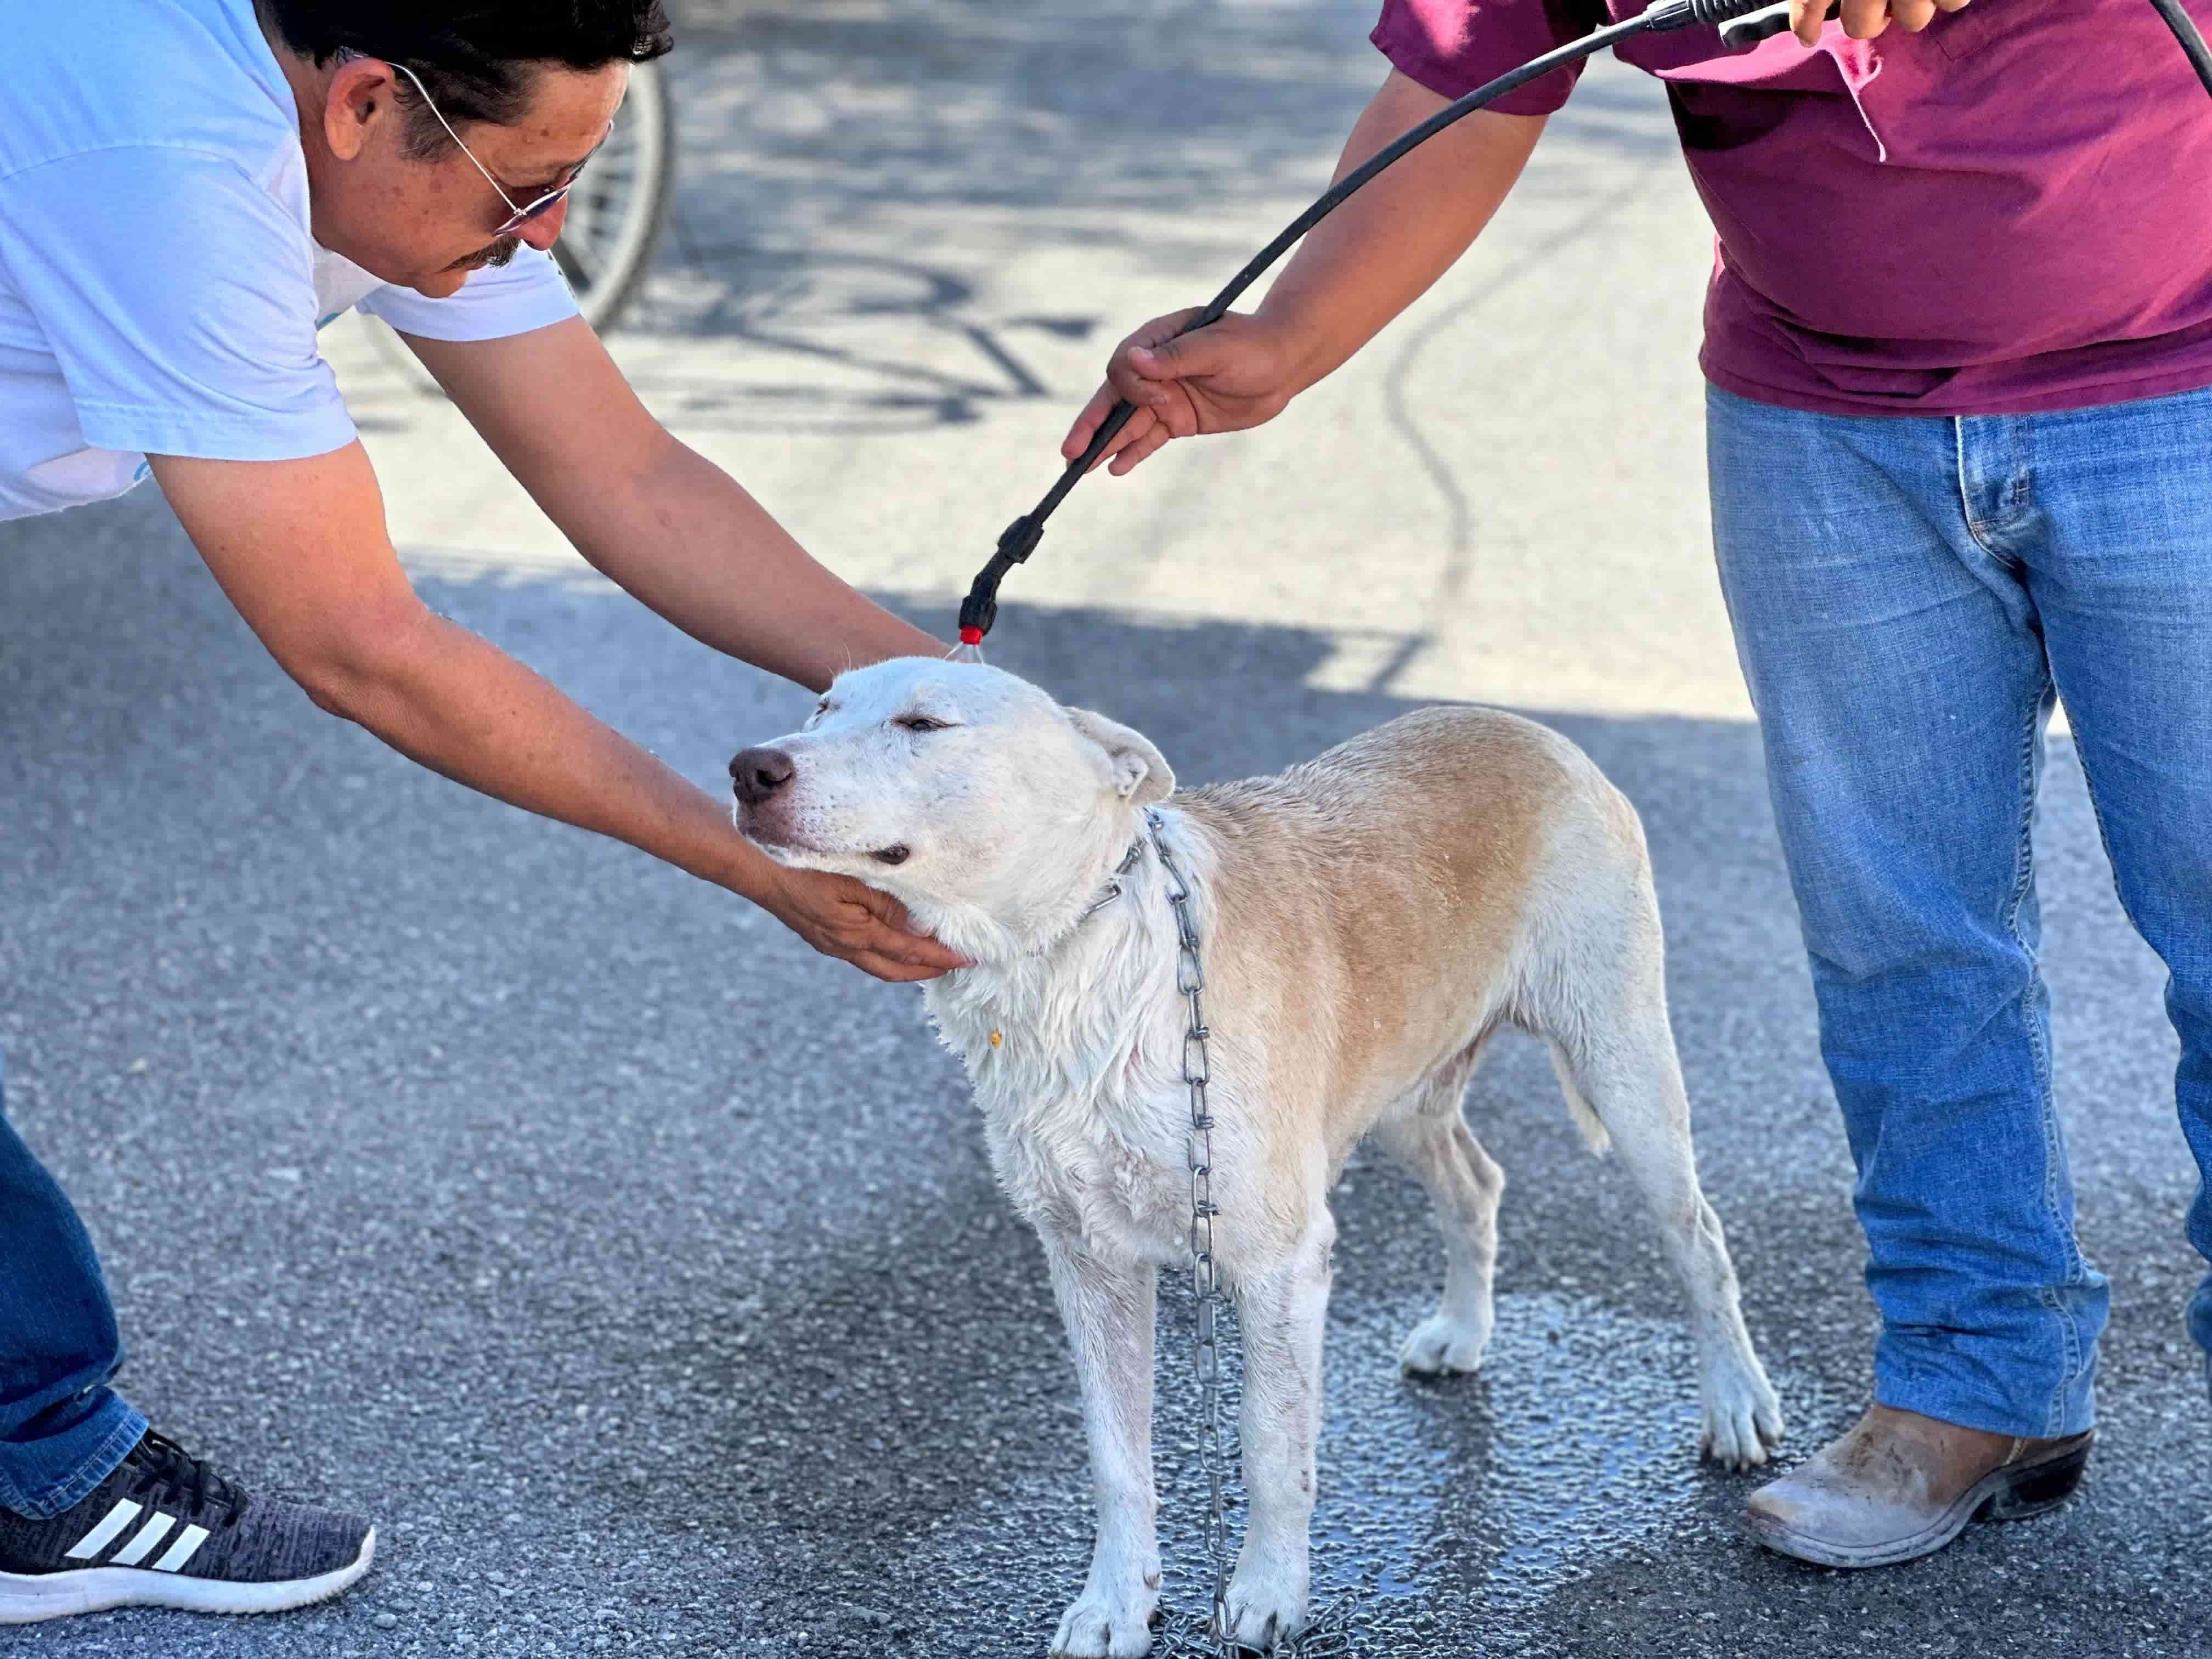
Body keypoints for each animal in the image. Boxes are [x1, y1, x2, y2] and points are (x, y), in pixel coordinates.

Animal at [734, 663, 1787, 1659]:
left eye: (924, 722)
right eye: (822, 707)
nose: (750, 768)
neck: (1071, 961)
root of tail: (1520, 724)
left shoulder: (1280, 1260)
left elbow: (1273, 1446)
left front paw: (1269, 1593)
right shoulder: (1087, 1262)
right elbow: (1117, 1458)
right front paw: (1117, 1605)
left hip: (1623, 1064)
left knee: (1698, 1236)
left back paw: (1737, 1404)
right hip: (1400, 1093)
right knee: (1476, 1184)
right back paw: (1462, 1327)